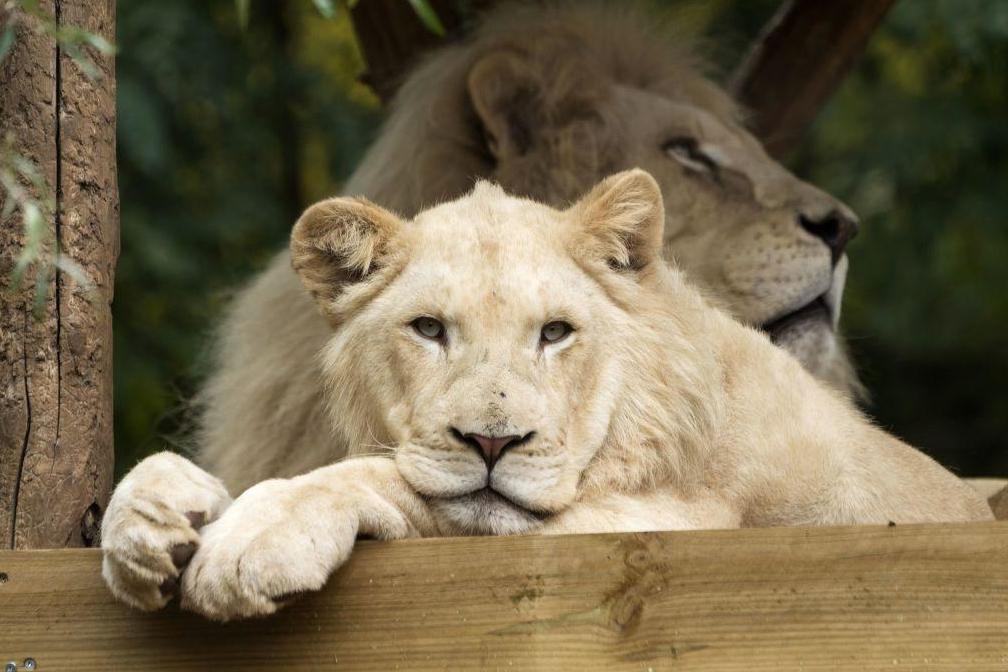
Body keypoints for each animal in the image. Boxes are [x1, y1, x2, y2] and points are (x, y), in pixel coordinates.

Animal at [111, 170, 987, 621]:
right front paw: (147, 523)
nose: (494, 444)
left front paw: (250, 540)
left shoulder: (679, 526)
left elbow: (388, 480)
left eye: (556, 333)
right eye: (428, 329)